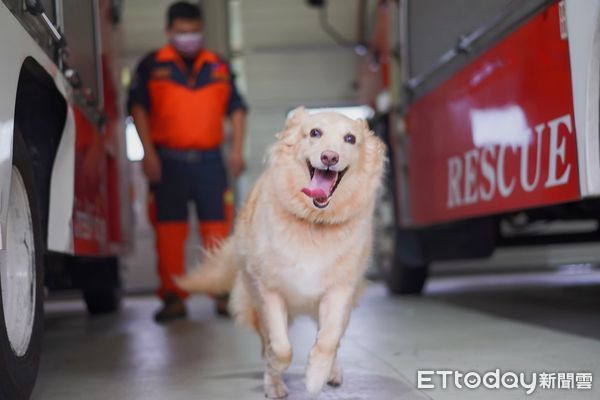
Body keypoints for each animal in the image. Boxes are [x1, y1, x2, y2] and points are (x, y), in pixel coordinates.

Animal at [176, 108, 386, 398]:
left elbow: (328, 340)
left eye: (350, 139)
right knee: (268, 341)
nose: (329, 157)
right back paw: (273, 380)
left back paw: (332, 372)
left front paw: (316, 376)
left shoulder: (339, 290)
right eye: (315, 133)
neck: (314, 222)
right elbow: (280, 346)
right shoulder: (269, 290)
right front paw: (275, 370)